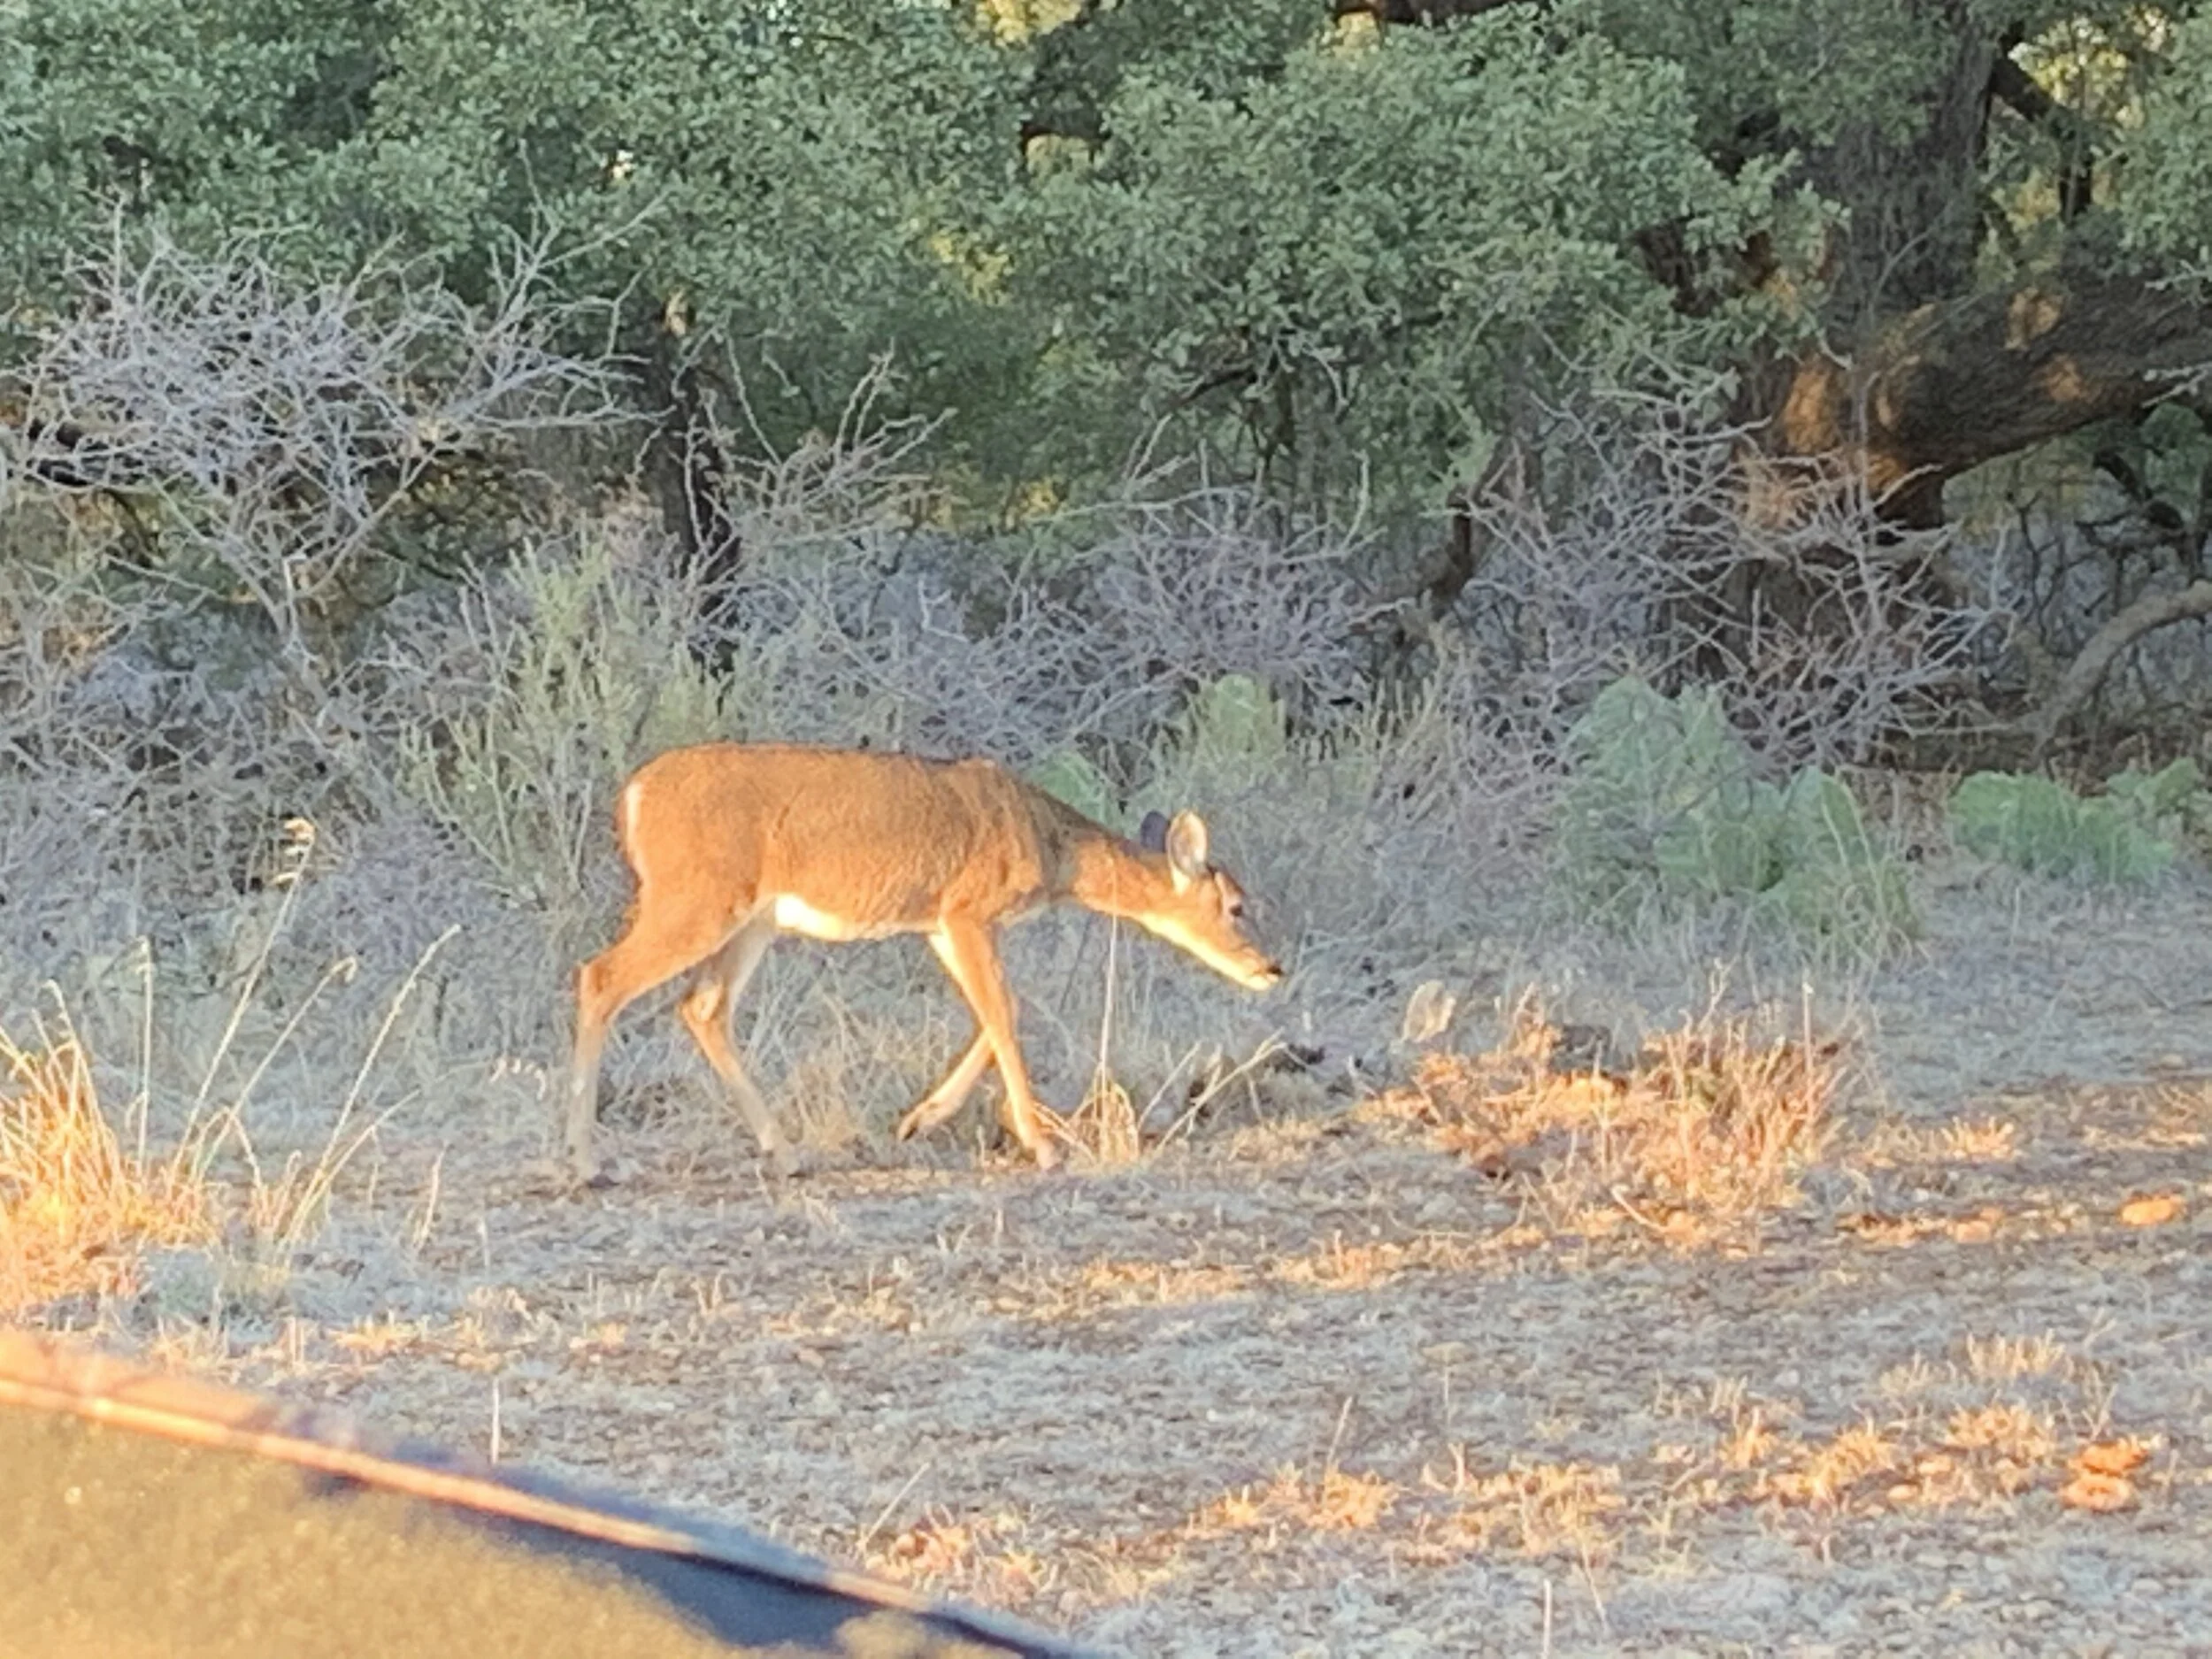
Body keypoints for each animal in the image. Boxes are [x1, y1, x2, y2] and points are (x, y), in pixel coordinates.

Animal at [565, 742, 1284, 1181]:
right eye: (1237, 905)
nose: (1271, 969)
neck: (1051, 846)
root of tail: (633, 797)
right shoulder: (968, 908)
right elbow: (1004, 1008)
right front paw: (1044, 1145)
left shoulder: (939, 921)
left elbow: (996, 1009)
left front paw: (918, 1119)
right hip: (697, 899)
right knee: (601, 977)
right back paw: (585, 1162)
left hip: (752, 919)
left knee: (702, 1006)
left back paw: (788, 1153)